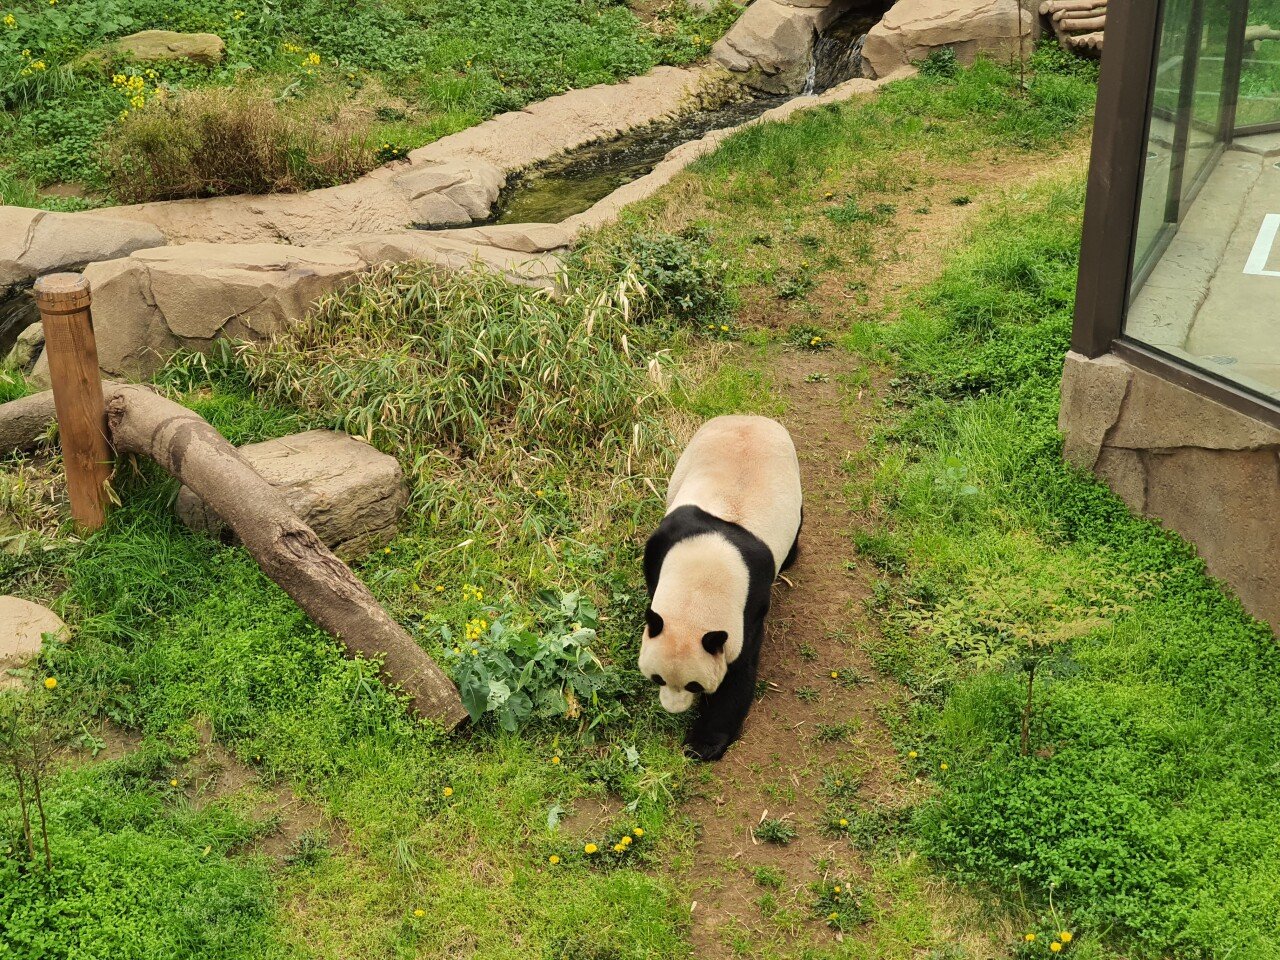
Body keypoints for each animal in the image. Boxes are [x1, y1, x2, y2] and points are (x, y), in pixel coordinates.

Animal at [637, 417, 798, 762]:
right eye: (658, 678)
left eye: (694, 686)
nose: (673, 710)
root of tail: (751, 416)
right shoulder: (662, 546)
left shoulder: (749, 606)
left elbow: (738, 673)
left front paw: (702, 744)